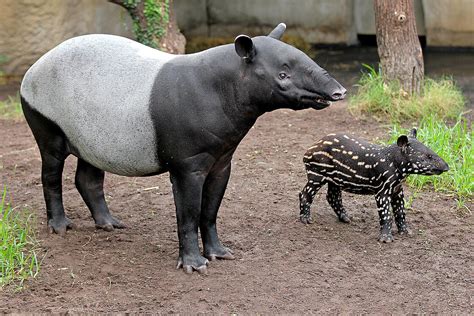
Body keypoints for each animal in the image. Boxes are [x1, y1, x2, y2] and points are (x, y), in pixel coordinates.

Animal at [20, 22, 346, 274]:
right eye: (283, 75)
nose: (338, 92)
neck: (224, 87)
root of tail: (34, 66)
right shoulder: (188, 163)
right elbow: (188, 213)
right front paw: (194, 264)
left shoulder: (222, 160)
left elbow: (210, 211)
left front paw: (219, 253)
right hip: (46, 117)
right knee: (51, 171)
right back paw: (60, 226)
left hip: (90, 131)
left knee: (88, 176)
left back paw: (109, 224)